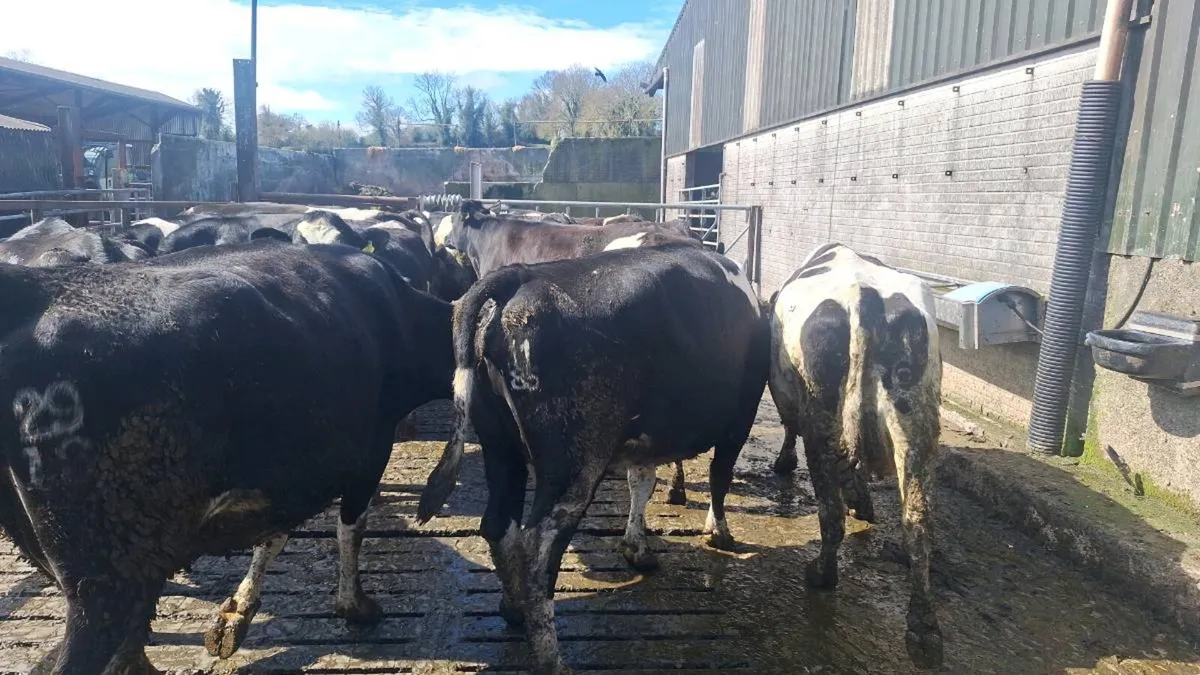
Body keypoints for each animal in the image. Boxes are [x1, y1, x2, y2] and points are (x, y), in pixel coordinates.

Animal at [0, 240, 454, 674]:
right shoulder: (370, 448)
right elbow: (351, 529)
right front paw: (355, 606)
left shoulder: (287, 472)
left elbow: (273, 536)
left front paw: (235, 616)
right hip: (103, 577)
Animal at [416, 241, 768, 675]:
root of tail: (521, 275)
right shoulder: (741, 416)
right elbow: (721, 476)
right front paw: (719, 532)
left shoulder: (644, 437)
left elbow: (642, 484)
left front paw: (637, 547)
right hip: (575, 461)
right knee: (539, 545)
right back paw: (551, 658)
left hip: (500, 445)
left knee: (499, 525)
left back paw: (514, 610)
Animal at [767, 242, 943, 669]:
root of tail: (864, 298)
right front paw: (862, 499)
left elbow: (789, 427)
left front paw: (785, 464)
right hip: (916, 415)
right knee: (918, 523)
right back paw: (924, 626)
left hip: (823, 410)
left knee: (830, 511)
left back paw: (822, 574)